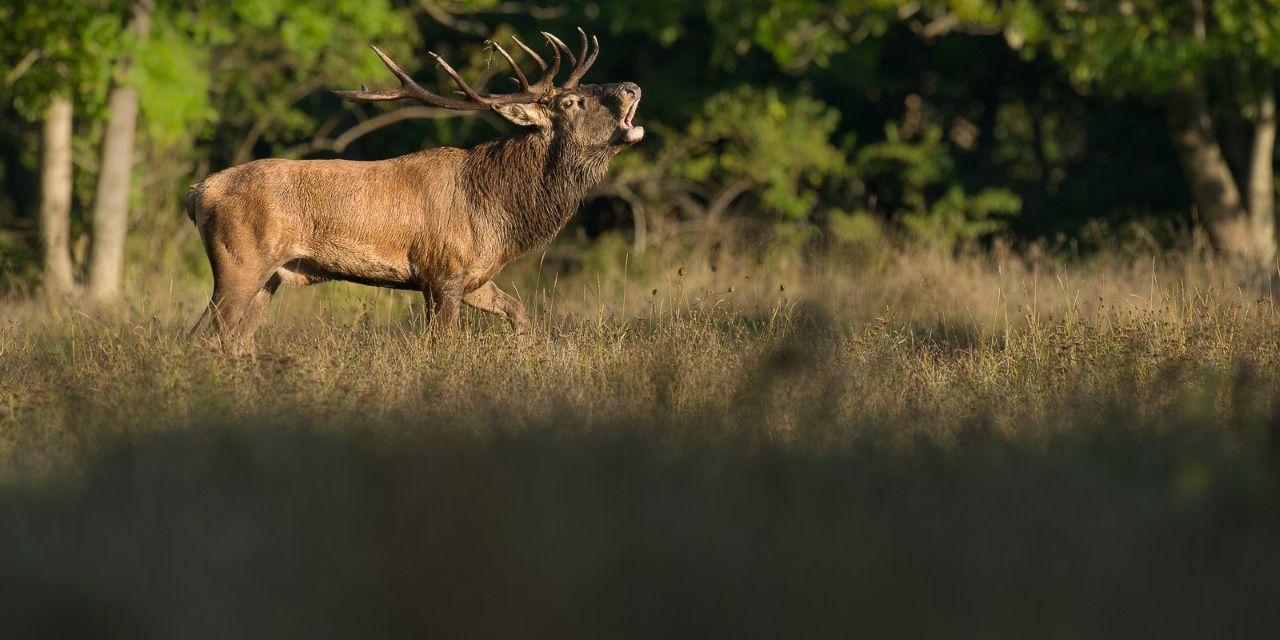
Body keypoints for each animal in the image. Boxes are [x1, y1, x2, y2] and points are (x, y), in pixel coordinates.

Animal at [185, 29, 643, 349]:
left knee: (235, 341)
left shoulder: (474, 277)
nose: (632, 87)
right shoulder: (442, 272)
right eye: (570, 103)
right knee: (200, 337)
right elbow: (444, 349)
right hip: (240, 262)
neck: (498, 213)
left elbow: (519, 312)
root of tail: (197, 192)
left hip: (270, 276)